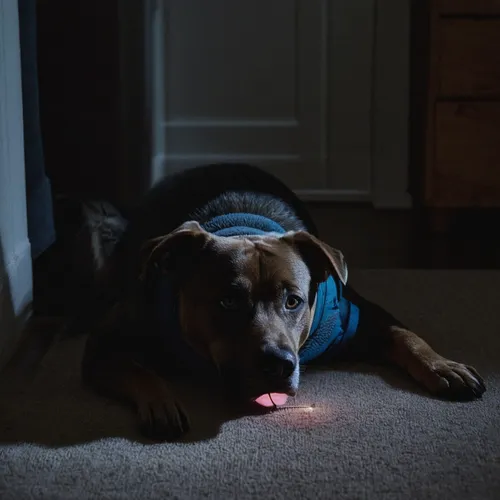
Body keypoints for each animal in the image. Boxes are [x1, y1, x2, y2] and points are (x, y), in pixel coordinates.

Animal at [81, 163, 484, 442]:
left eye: (294, 301)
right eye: (228, 301)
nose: (278, 364)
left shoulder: (359, 316)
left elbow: (406, 335)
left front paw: (443, 366)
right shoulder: (110, 340)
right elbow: (137, 368)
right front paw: (161, 402)